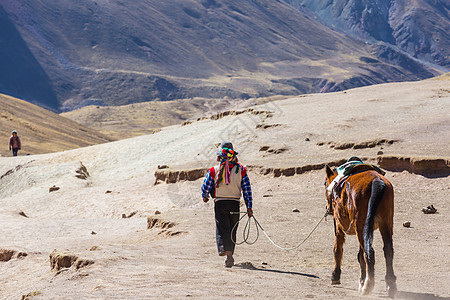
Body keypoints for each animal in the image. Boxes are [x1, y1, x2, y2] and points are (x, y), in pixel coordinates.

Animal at [324, 165, 398, 298]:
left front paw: (335, 276)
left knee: (369, 252)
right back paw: (390, 285)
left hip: (362, 225)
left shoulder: (338, 225)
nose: (327, 207)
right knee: (388, 250)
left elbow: (337, 250)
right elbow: (360, 256)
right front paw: (361, 280)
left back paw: (368, 286)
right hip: (385, 223)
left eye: (324, 183)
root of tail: (377, 181)